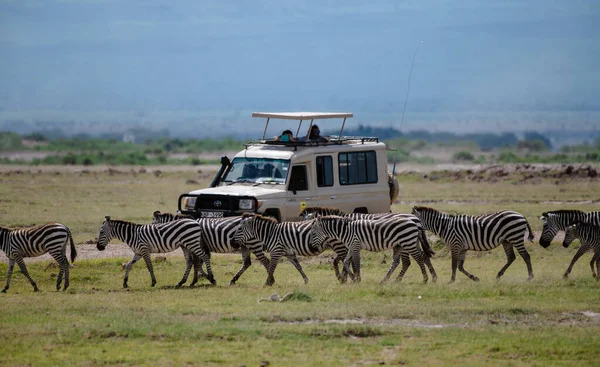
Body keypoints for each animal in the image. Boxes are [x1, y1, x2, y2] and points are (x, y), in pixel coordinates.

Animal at [298, 208, 436, 284]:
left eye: (312, 232)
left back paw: (425, 279)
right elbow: (346, 262)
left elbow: (356, 263)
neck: (345, 230)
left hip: (408, 242)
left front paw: (356, 279)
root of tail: (414, 220)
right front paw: (351, 278)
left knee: (418, 258)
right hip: (404, 244)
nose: (310, 246)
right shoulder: (351, 247)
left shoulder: (355, 245)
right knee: (404, 261)